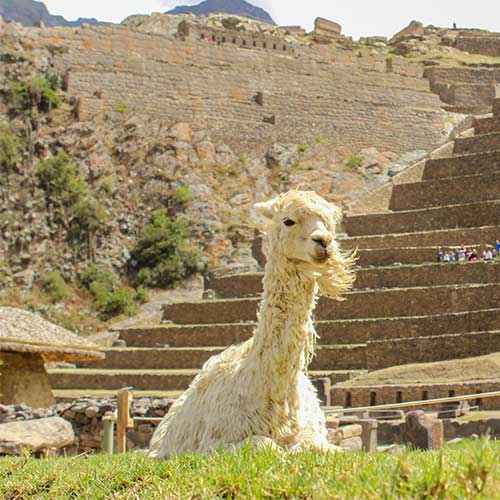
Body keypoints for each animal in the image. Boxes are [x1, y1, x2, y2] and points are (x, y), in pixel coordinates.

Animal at [148, 190, 356, 457]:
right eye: (288, 221)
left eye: (330, 222)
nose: (324, 242)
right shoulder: (214, 442)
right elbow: (267, 445)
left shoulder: (315, 434)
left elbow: (325, 448)